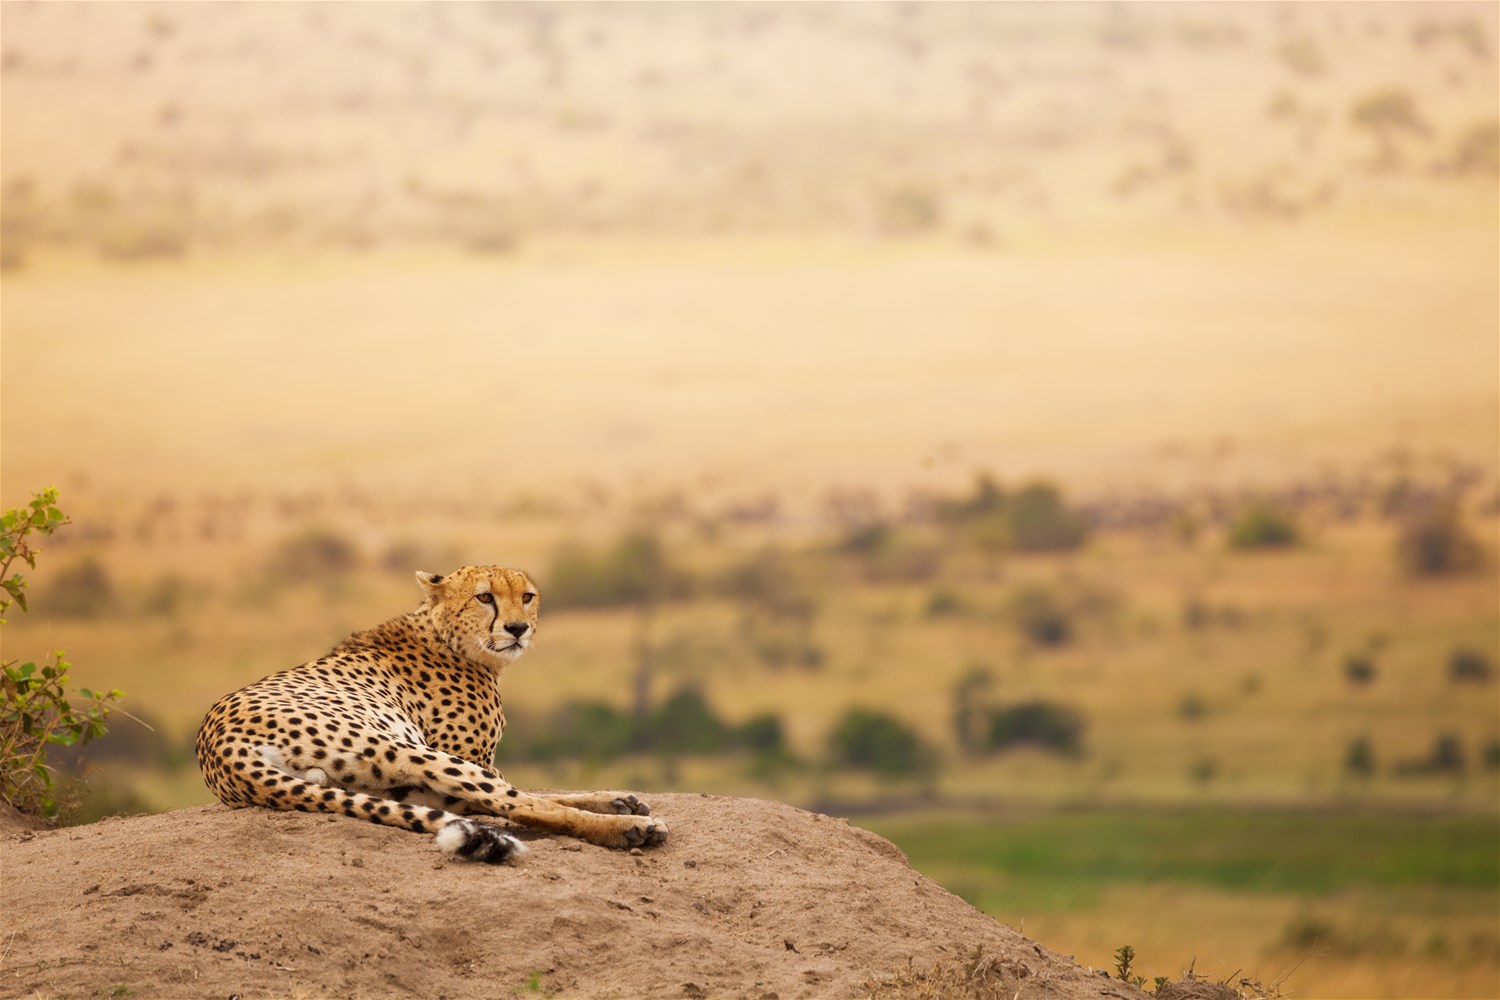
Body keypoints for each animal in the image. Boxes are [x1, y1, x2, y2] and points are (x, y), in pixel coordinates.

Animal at [195, 566, 669, 863]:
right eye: (485, 597)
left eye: (527, 597)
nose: (518, 628)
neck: (447, 635)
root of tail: (218, 749)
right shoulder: (470, 756)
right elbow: (526, 796)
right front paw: (622, 812)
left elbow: (537, 789)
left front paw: (620, 797)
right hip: (407, 750)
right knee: (517, 805)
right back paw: (630, 829)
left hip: (389, 784)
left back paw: (621, 808)